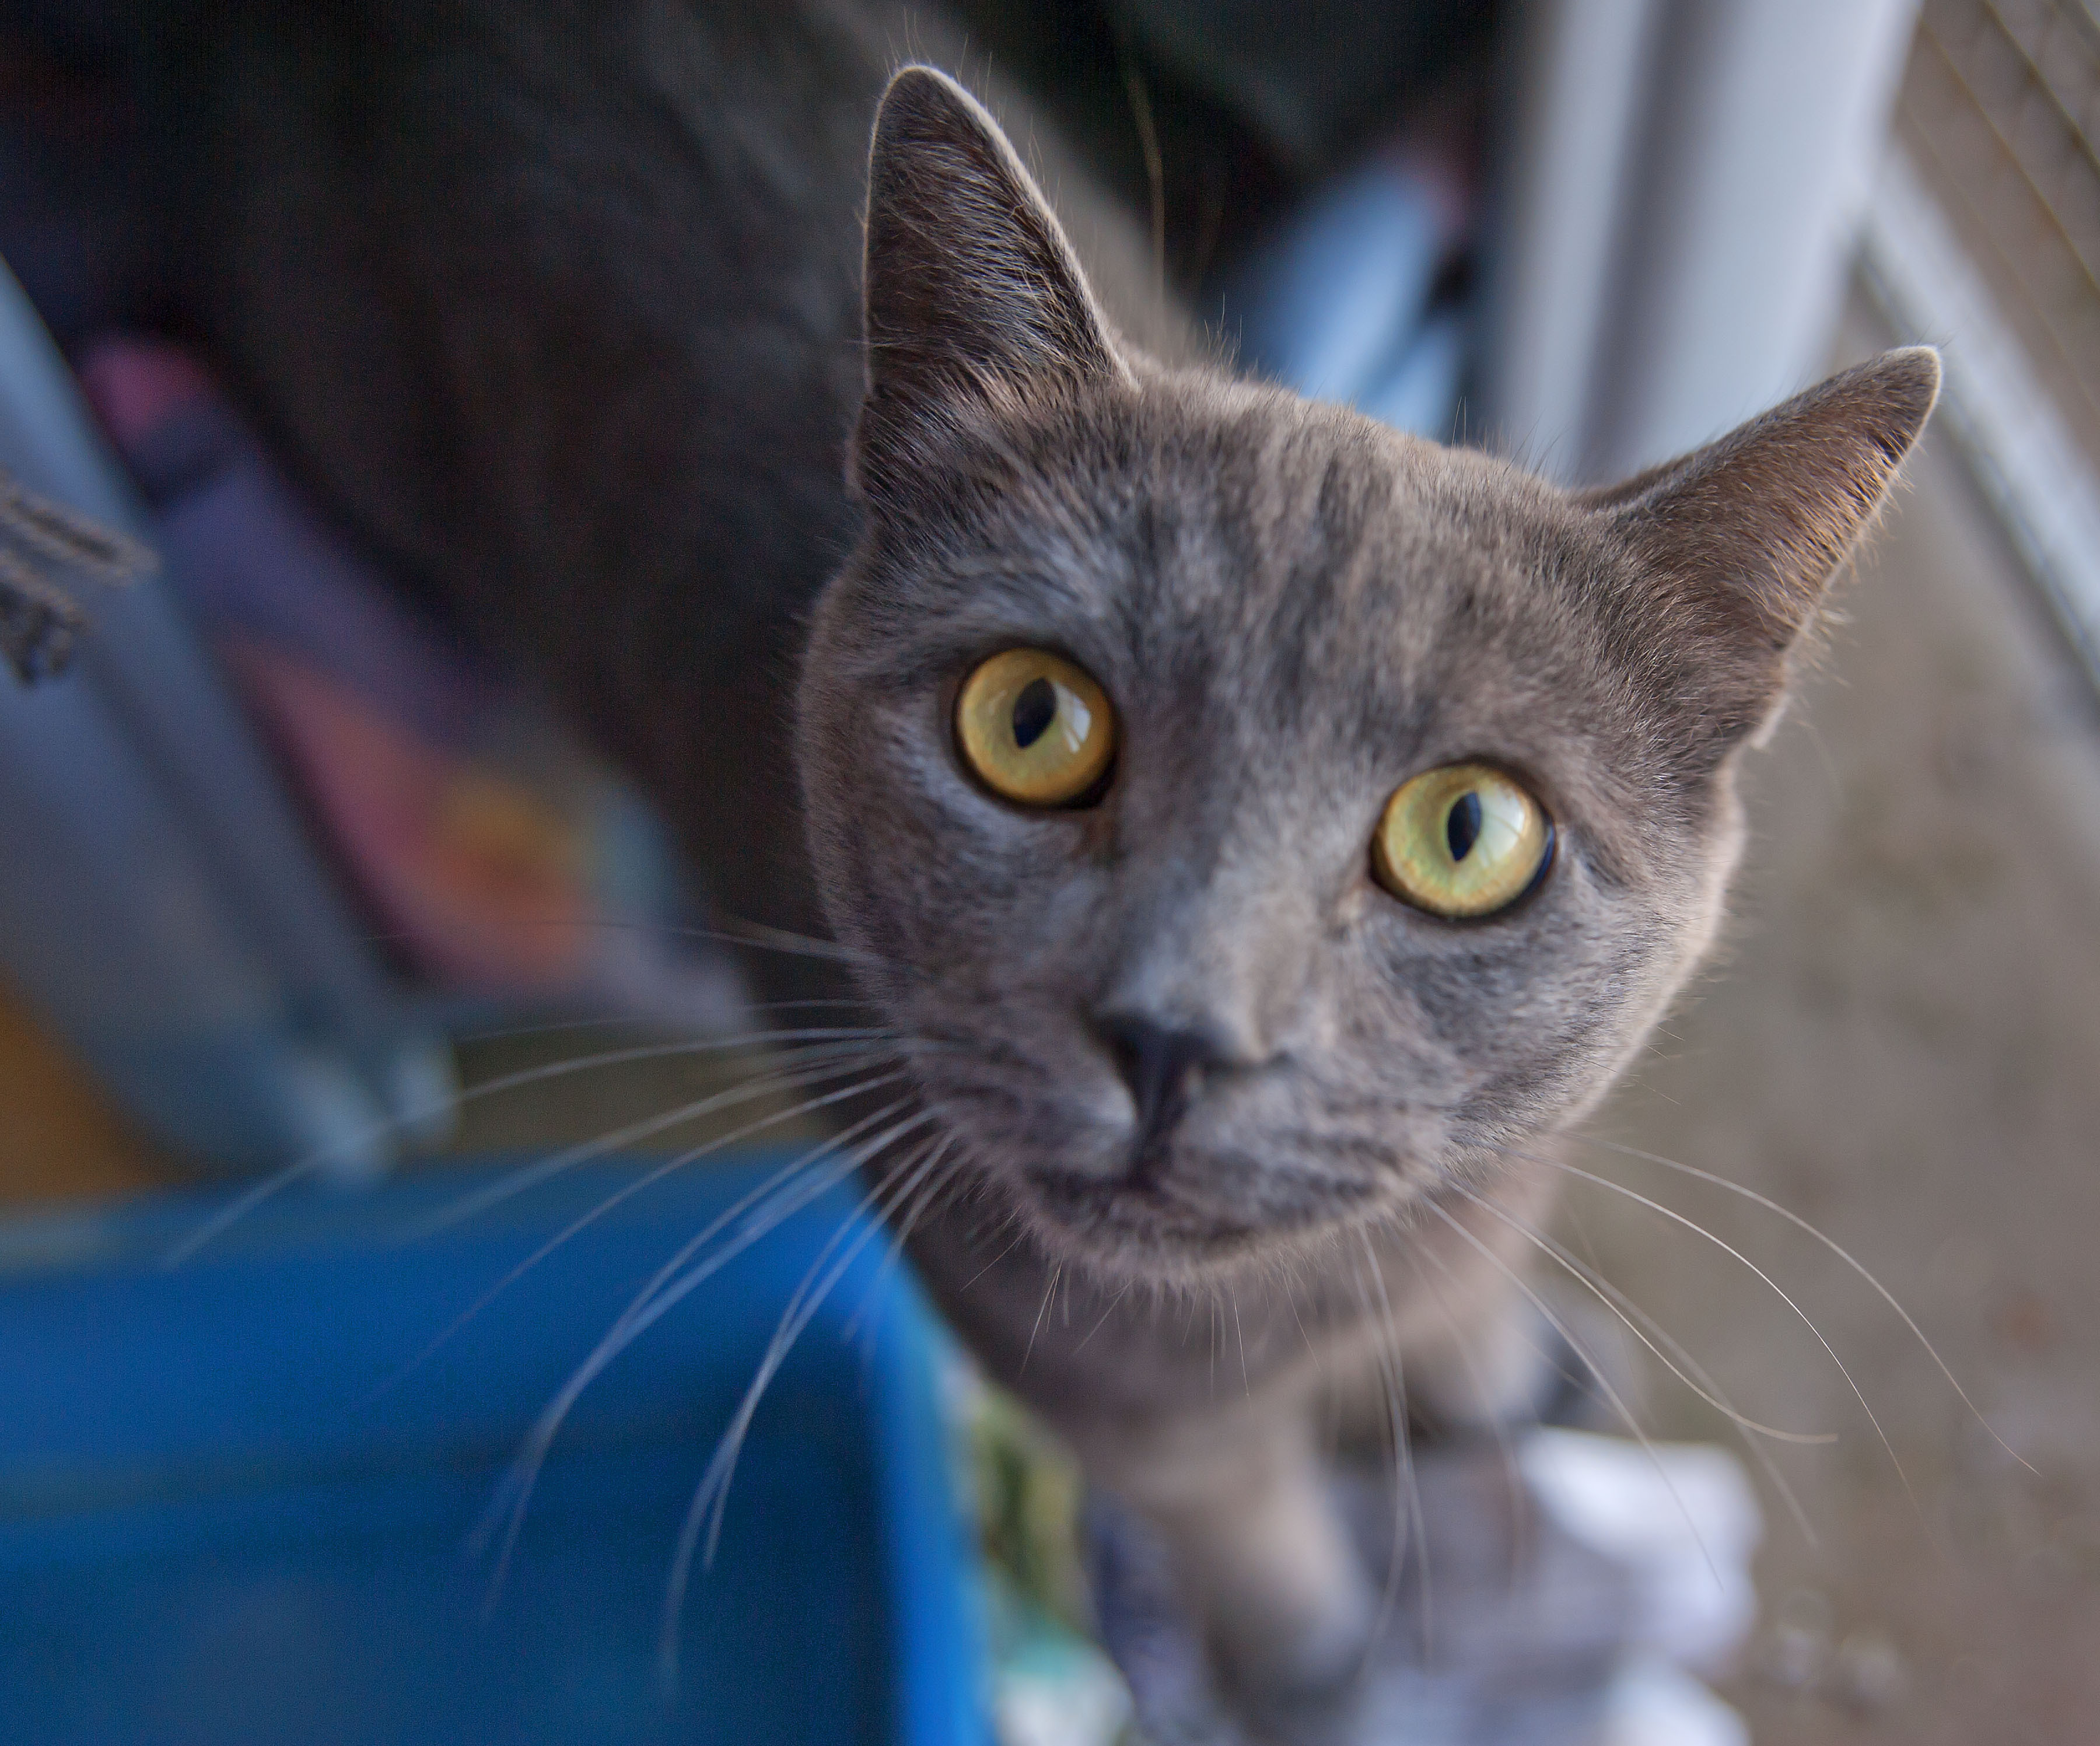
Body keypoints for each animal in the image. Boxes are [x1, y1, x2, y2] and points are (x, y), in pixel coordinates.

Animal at [127, 10, 1932, 1731]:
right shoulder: (1096, 1380)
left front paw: (1496, 1372)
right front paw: (1319, 1672)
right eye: (1029, 722)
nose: (1173, 1037)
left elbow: (1465, 1275)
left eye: (1467, 833)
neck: (1298, 1304)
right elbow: (1239, 1518)